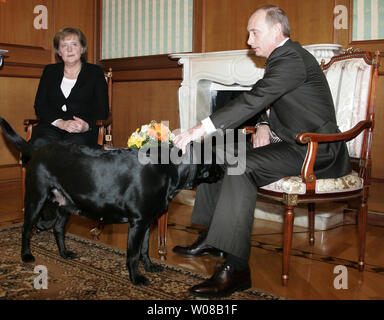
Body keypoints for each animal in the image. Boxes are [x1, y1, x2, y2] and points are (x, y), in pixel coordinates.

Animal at [0, 117, 224, 284]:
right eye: (213, 157)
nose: (224, 169)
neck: (166, 169)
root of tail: (37, 150)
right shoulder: (138, 222)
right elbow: (133, 254)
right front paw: (136, 278)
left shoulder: (147, 222)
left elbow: (144, 250)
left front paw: (150, 267)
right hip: (35, 199)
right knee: (27, 228)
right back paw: (26, 255)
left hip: (65, 205)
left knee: (58, 229)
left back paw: (64, 254)